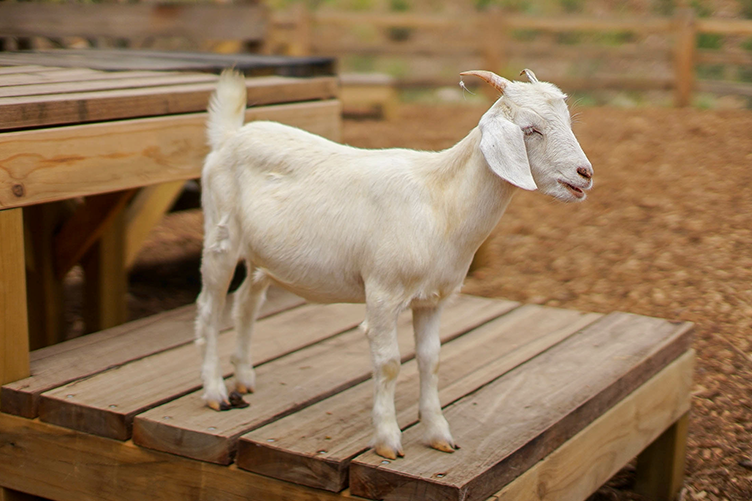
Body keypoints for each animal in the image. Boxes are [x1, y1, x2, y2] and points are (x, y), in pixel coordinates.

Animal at [195, 69, 593, 460]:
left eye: (566, 120)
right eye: (530, 129)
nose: (584, 173)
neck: (442, 202)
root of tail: (228, 137)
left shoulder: (434, 299)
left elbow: (431, 359)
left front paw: (438, 433)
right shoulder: (382, 293)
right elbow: (388, 364)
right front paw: (387, 440)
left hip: (261, 257)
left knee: (246, 304)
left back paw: (244, 378)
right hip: (220, 239)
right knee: (210, 309)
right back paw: (215, 393)